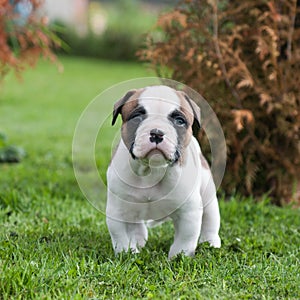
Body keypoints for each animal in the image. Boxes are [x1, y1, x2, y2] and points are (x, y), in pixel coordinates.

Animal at [106, 84, 220, 258]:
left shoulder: (188, 211)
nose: (157, 132)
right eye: (136, 117)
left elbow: (185, 238)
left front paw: (179, 257)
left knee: (211, 219)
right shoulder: (118, 210)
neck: (152, 170)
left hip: (209, 195)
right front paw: (128, 254)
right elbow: (121, 236)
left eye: (179, 121)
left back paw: (211, 243)